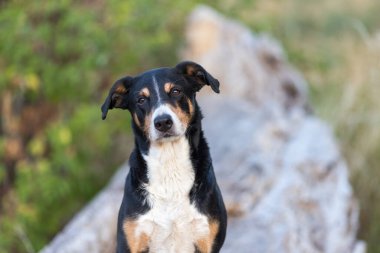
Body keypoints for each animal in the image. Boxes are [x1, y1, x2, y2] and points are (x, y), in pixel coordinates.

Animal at [101, 61, 226, 253]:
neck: (169, 162)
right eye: (141, 100)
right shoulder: (132, 240)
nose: (162, 122)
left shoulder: (207, 239)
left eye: (175, 91)